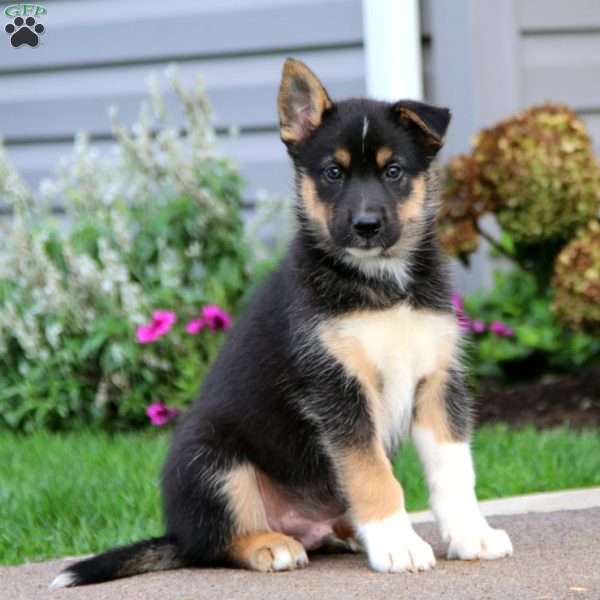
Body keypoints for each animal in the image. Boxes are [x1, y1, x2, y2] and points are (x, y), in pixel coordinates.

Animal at [50, 59, 510, 584]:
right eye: (333, 172)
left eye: (394, 171)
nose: (366, 226)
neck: (380, 285)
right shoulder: (338, 390)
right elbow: (372, 475)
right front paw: (397, 545)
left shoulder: (437, 381)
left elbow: (454, 470)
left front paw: (471, 535)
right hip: (212, 459)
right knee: (215, 543)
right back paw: (271, 545)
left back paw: (347, 534)